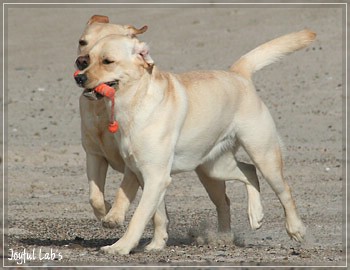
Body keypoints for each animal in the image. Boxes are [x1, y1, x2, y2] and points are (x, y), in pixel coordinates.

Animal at [75, 28, 316, 254]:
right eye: (88, 59)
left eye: (107, 61)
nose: (79, 77)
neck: (134, 103)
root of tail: (238, 74)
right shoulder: (141, 173)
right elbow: (153, 212)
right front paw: (155, 243)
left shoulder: (155, 176)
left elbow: (140, 216)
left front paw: (120, 247)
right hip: (214, 168)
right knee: (248, 171)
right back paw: (255, 215)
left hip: (264, 155)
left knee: (284, 191)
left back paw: (295, 228)